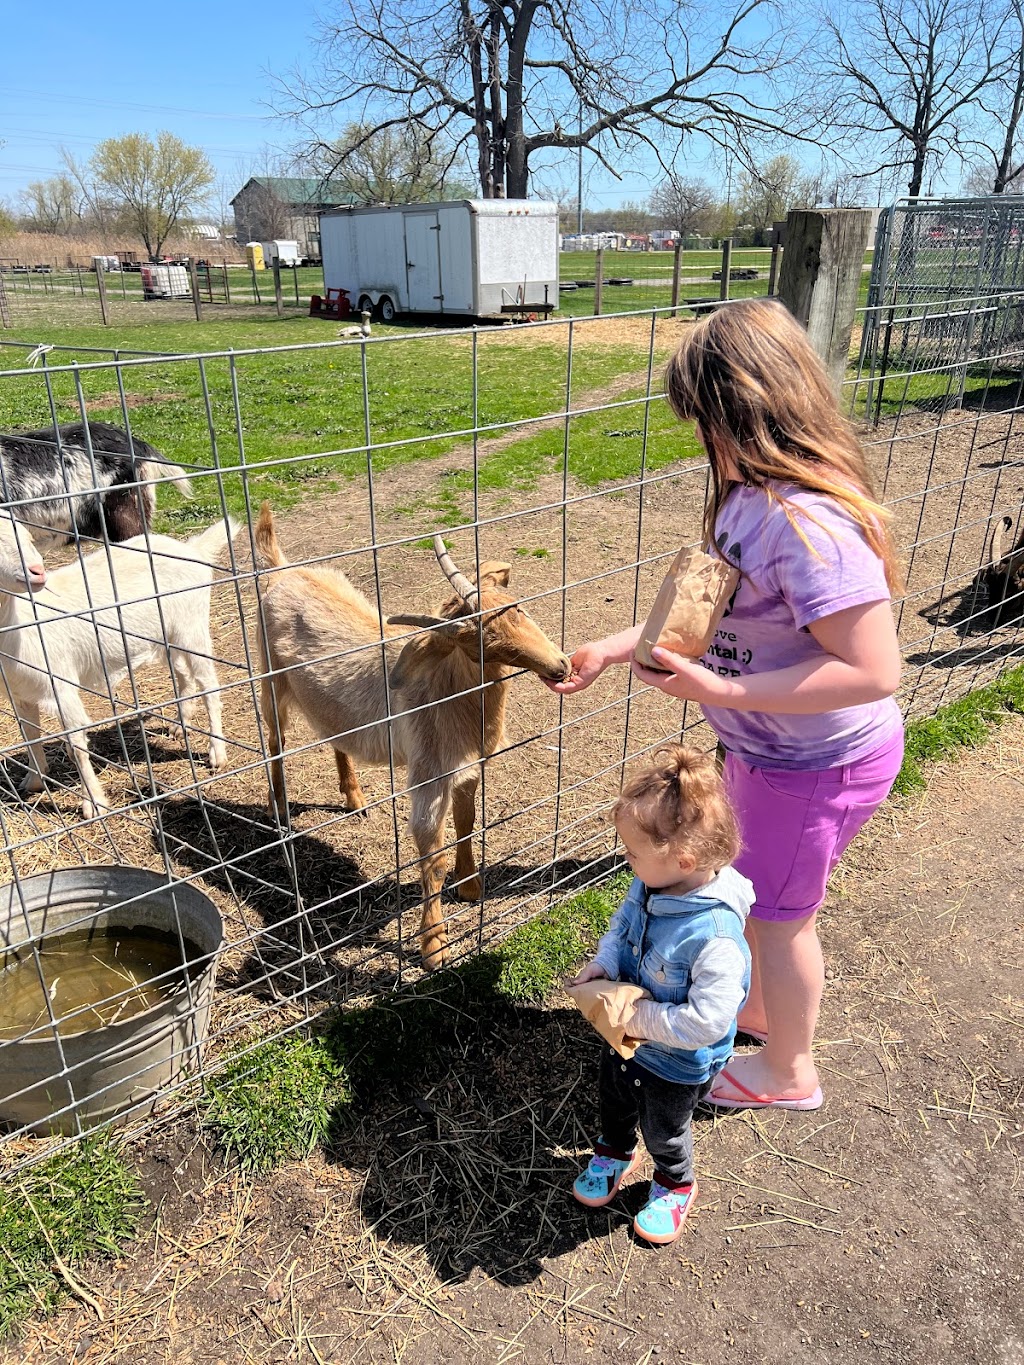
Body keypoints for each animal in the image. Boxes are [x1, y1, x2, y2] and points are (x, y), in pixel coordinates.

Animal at [0, 510, 238, 808]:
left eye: (28, 538)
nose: (37, 572)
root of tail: (192, 549)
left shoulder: (61, 689)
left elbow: (75, 747)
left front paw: (94, 803)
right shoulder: (20, 694)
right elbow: (30, 737)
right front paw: (33, 781)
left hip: (192, 627)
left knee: (209, 685)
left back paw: (217, 753)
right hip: (166, 635)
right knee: (184, 674)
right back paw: (180, 725)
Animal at [252, 505, 573, 971]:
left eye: (517, 609)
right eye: (477, 643)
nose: (561, 666)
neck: (448, 691)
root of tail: (280, 571)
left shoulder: (466, 768)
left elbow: (466, 821)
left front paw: (471, 886)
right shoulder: (429, 774)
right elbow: (432, 858)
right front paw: (434, 947)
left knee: (334, 734)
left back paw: (355, 797)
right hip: (269, 678)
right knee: (274, 742)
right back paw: (278, 808)